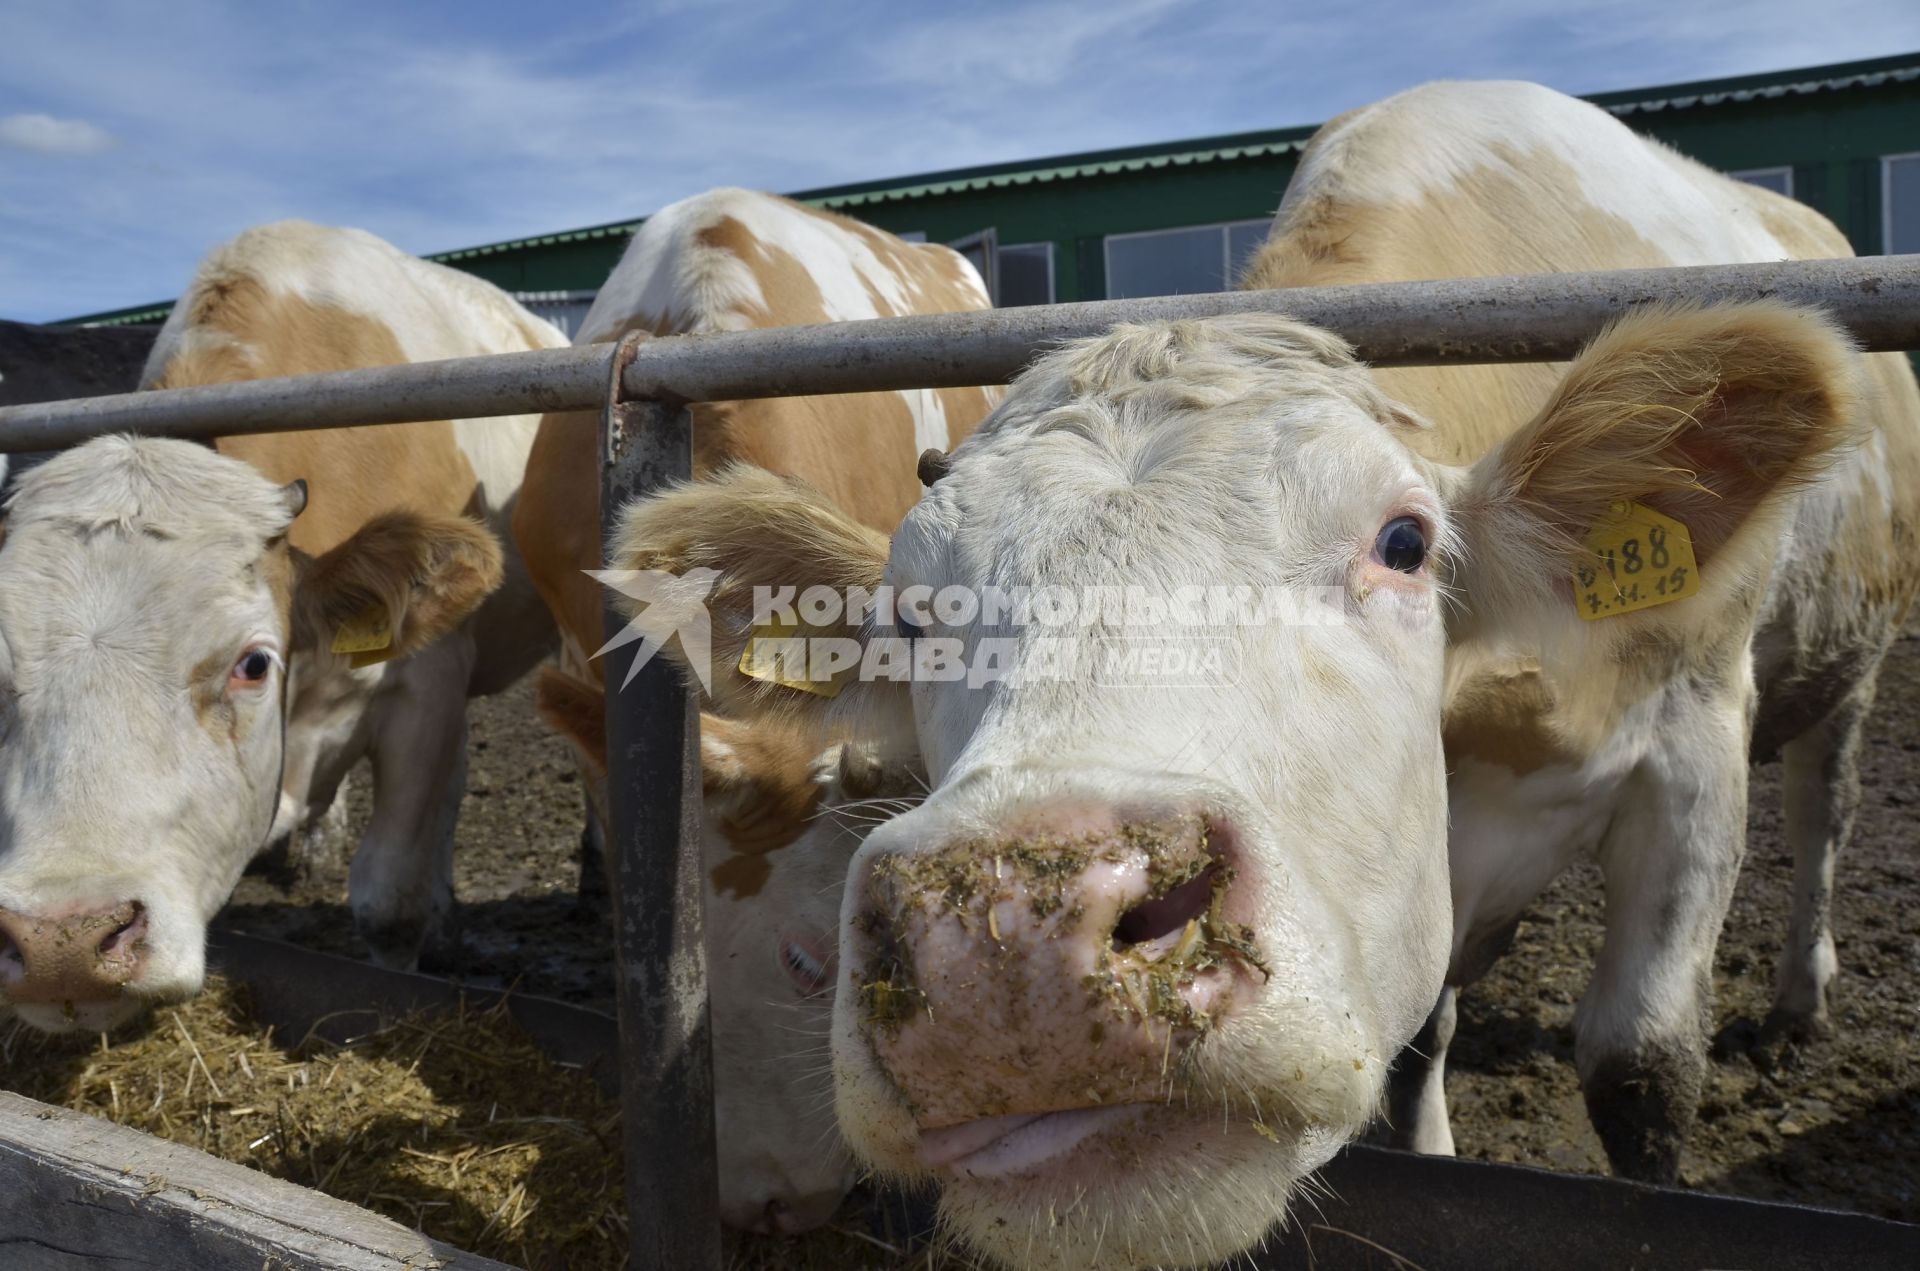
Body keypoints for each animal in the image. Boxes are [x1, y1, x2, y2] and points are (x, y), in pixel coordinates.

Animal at [602, 89, 1889, 1271]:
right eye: (915, 614)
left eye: (1405, 541)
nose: (1010, 948)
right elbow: (1424, 1031)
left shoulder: (1695, 734)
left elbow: (1641, 1065)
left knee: (1825, 805)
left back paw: (1798, 1000)